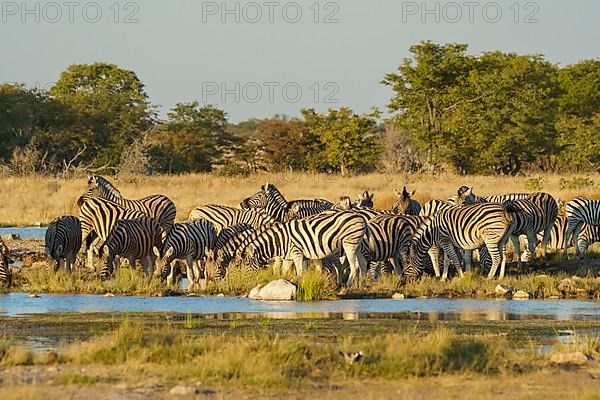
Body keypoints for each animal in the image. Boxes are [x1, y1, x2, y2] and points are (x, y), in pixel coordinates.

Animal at [237, 211, 368, 286]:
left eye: (247, 264)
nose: (245, 282)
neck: (280, 241)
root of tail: (360, 216)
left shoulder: (297, 253)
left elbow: (300, 272)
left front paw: (300, 284)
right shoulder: (288, 258)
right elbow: (284, 272)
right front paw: (284, 283)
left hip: (349, 243)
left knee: (354, 266)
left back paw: (348, 285)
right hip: (357, 244)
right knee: (363, 263)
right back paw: (361, 284)